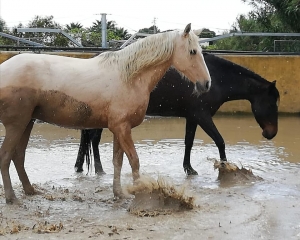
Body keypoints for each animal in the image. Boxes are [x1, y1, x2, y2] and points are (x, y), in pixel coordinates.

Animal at [0, 23, 211, 203]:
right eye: (192, 51)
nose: (206, 84)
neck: (129, 76)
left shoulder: (119, 128)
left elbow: (118, 161)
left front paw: (119, 194)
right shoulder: (122, 128)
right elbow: (134, 160)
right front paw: (139, 193)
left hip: (28, 123)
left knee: (18, 157)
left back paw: (30, 190)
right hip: (16, 125)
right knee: (6, 156)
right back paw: (12, 198)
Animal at [74, 53, 280, 174]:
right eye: (272, 103)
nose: (271, 133)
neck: (215, 78)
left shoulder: (193, 117)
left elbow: (189, 142)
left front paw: (188, 168)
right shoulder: (203, 116)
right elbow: (219, 140)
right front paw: (224, 167)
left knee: (88, 138)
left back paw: (80, 166)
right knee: (93, 139)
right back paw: (99, 169)